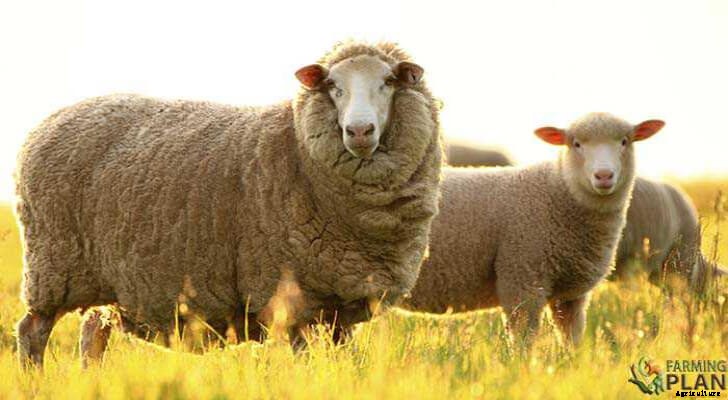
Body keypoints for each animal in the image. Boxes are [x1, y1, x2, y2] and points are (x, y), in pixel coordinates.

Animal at [14, 41, 443, 368]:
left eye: (388, 82)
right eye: (333, 86)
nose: (359, 130)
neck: (298, 149)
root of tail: (44, 125)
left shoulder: (340, 305)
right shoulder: (290, 297)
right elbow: (305, 361)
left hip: (105, 281)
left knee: (92, 334)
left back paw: (91, 378)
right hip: (53, 264)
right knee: (32, 332)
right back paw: (34, 380)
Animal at [403, 113, 663, 347]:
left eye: (624, 141)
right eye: (576, 144)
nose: (604, 175)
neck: (558, 191)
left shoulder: (571, 295)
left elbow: (572, 339)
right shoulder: (522, 276)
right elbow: (523, 340)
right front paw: (523, 367)